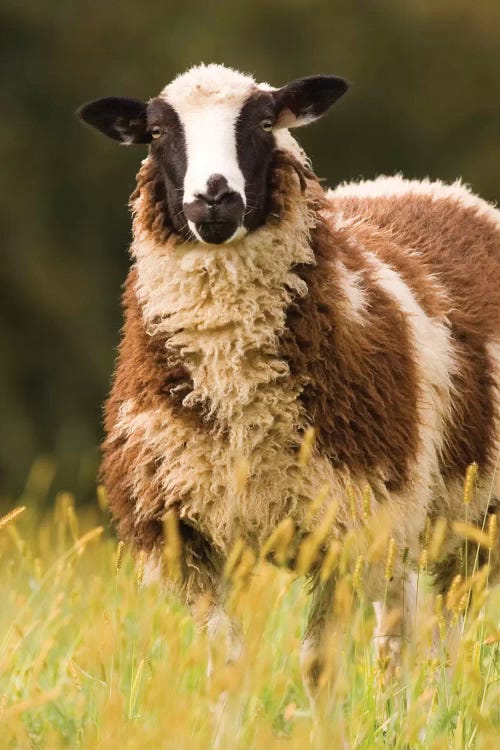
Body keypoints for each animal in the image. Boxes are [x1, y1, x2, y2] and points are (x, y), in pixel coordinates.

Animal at [77, 64, 500, 700]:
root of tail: (429, 187)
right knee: (398, 628)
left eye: (263, 122)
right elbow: (227, 666)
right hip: (407, 513)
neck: (237, 390)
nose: (215, 196)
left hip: (470, 513)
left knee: (442, 634)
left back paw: (432, 705)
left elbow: (319, 668)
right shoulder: (190, 535)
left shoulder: (347, 524)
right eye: (155, 132)